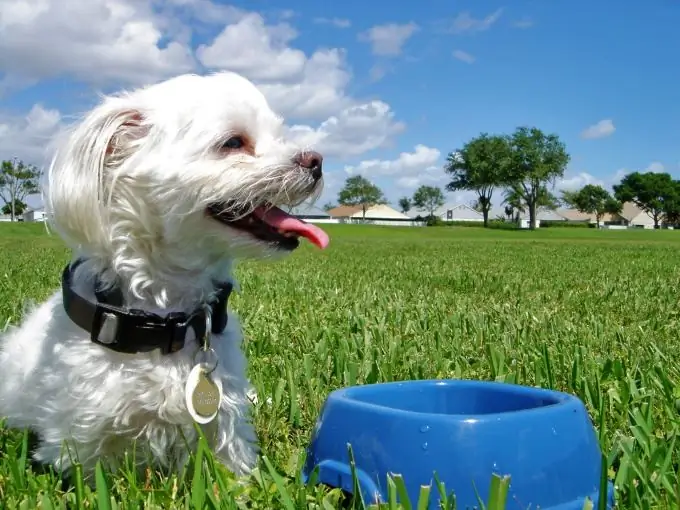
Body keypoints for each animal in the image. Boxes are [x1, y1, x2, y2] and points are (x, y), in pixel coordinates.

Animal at [0, 71, 330, 482]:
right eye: (233, 142)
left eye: (279, 134)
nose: (316, 160)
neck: (166, 320)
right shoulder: (78, 443)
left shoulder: (226, 422)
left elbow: (233, 470)